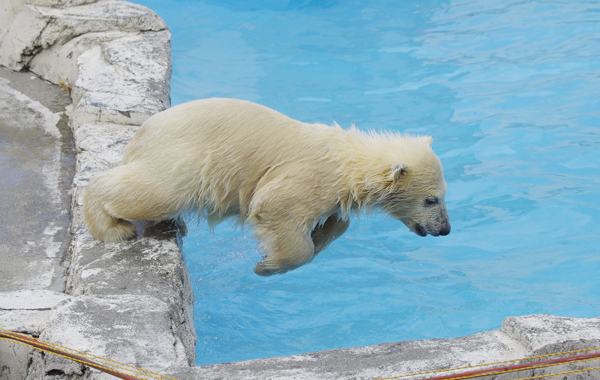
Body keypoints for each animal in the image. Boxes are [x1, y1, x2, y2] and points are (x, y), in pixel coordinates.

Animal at [84, 98, 450, 276]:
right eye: (432, 200)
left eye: (444, 196)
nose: (445, 229)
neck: (348, 162)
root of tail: (142, 132)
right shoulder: (306, 176)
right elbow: (276, 206)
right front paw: (268, 265)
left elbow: (337, 222)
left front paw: (319, 236)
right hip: (183, 157)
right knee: (155, 191)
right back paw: (112, 227)